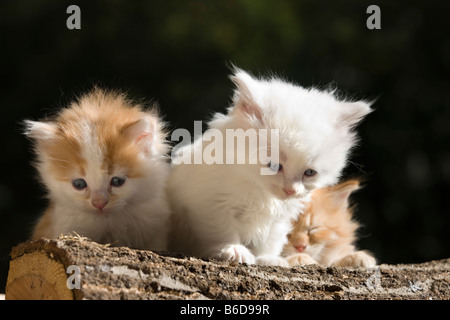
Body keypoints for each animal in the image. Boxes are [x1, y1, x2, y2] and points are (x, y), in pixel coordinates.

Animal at [167, 69, 370, 266]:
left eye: (309, 173)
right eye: (274, 166)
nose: (290, 190)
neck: (260, 190)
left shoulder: (279, 219)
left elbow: (270, 240)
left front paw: (267, 258)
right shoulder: (211, 203)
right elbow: (222, 230)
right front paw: (232, 250)